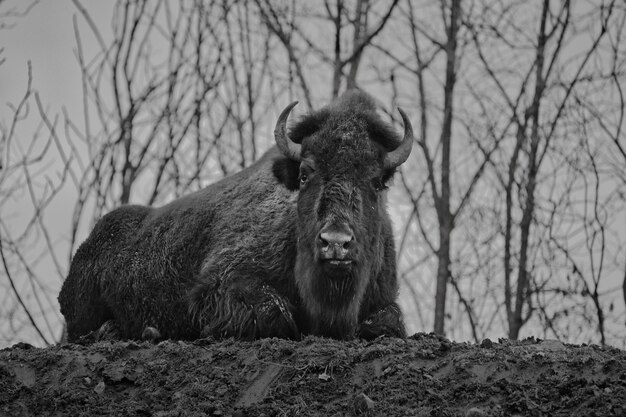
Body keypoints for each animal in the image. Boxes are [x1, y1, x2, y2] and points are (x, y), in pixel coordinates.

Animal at [57, 89, 410, 340]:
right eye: (305, 174)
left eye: (377, 181)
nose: (335, 243)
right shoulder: (220, 281)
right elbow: (274, 311)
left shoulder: (384, 298)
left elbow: (389, 321)